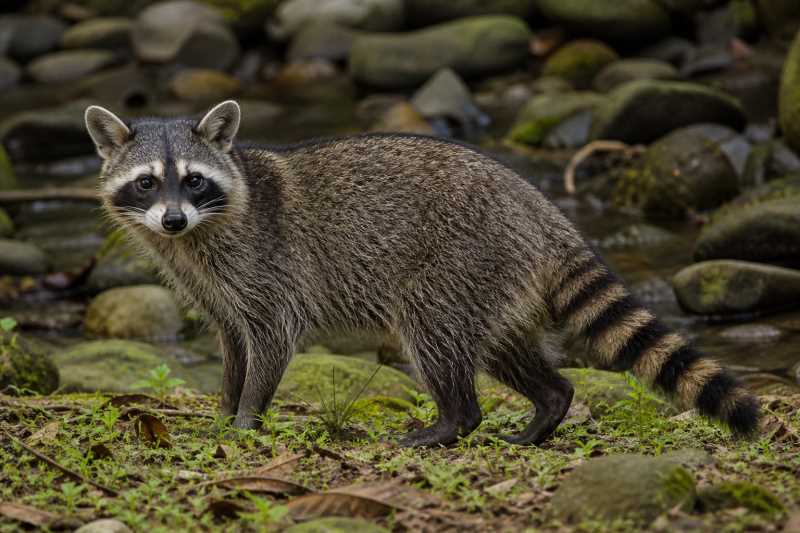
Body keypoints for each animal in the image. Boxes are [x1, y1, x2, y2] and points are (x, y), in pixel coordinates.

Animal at [84, 100, 760, 447]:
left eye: (194, 180)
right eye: (146, 183)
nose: (173, 218)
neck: (196, 235)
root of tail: (539, 208)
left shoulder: (266, 265)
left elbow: (272, 341)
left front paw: (249, 418)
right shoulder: (213, 286)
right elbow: (232, 347)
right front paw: (225, 410)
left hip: (460, 259)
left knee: (433, 335)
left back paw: (453, 423)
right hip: (497, 280)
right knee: (505, 350)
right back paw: (547, 408)